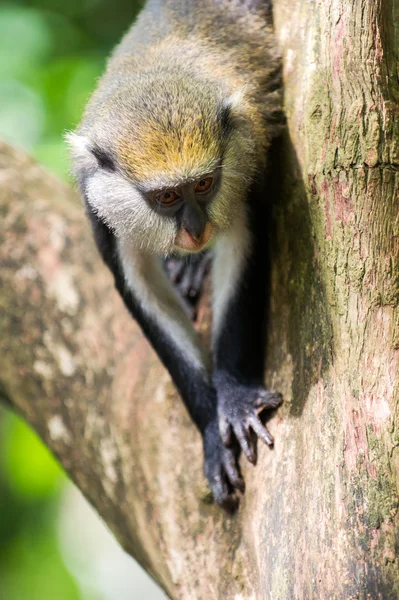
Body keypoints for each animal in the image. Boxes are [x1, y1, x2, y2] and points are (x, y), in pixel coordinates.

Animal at [66, 0, 284, 510]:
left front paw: (234, 396)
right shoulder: (99, 208)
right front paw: (211, 429)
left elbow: (244, 251)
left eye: (203, 185)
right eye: (166, 197)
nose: (195, 229)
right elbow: (142, 295)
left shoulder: (247, 164)